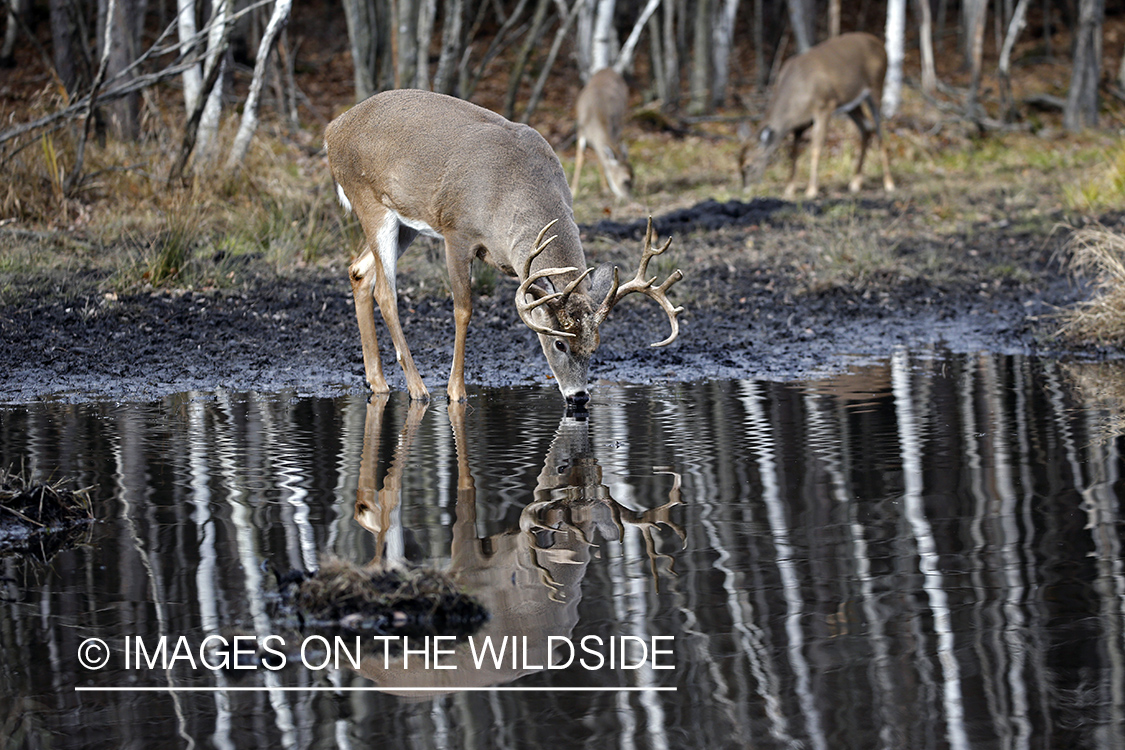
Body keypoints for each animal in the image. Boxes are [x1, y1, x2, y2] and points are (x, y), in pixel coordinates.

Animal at [321, 88, 679, 407]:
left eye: (594, 347)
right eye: (559, 345)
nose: (579, 397)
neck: (510, 193)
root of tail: (332, 129)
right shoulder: (457, 231)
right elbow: (463, 310)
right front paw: (456, 392)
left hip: (406, 223)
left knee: (359, 271)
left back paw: (378, 382)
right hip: (370, 201)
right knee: (386, 292)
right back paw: (417, 389)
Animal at [571, 67, 634, 201]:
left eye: (634, 176)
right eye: (625, 180)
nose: (629, 198)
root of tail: (608, 69)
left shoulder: (613, 129)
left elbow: (600, 160)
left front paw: (605, 189)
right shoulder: (581, 130)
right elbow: (579, 159)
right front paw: (573, 190)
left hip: (621, 120)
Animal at [742, 32, 891, 199]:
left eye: (749, 166)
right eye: (738, 162)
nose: (745, 190)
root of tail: (880, 44)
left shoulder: (824, 106)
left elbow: (816, 149)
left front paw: (811, 190)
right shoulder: (799, 124)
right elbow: (794, 152)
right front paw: (790, 188)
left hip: (876, 86)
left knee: (880, 130)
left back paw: (888, 183)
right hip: (851, 104)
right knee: (866, 128)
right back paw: (856, 182)